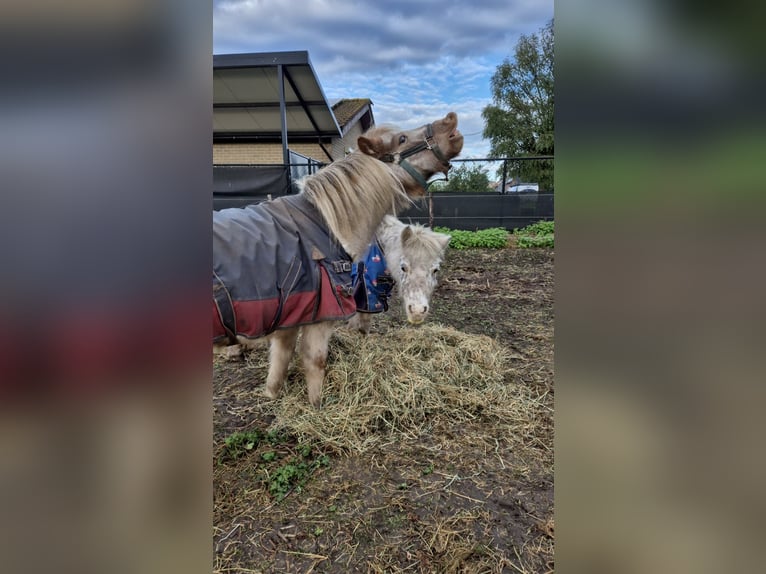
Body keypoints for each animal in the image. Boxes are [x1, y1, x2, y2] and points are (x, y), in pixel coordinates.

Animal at [213, 113, 464, 410]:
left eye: (435, 270)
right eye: (402, 138)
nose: (450, 124)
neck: (332, 229)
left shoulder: (293, 314)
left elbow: (281, 357)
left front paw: (272, 394)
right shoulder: (338, 309)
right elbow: (318, 360)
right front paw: (317, 407)